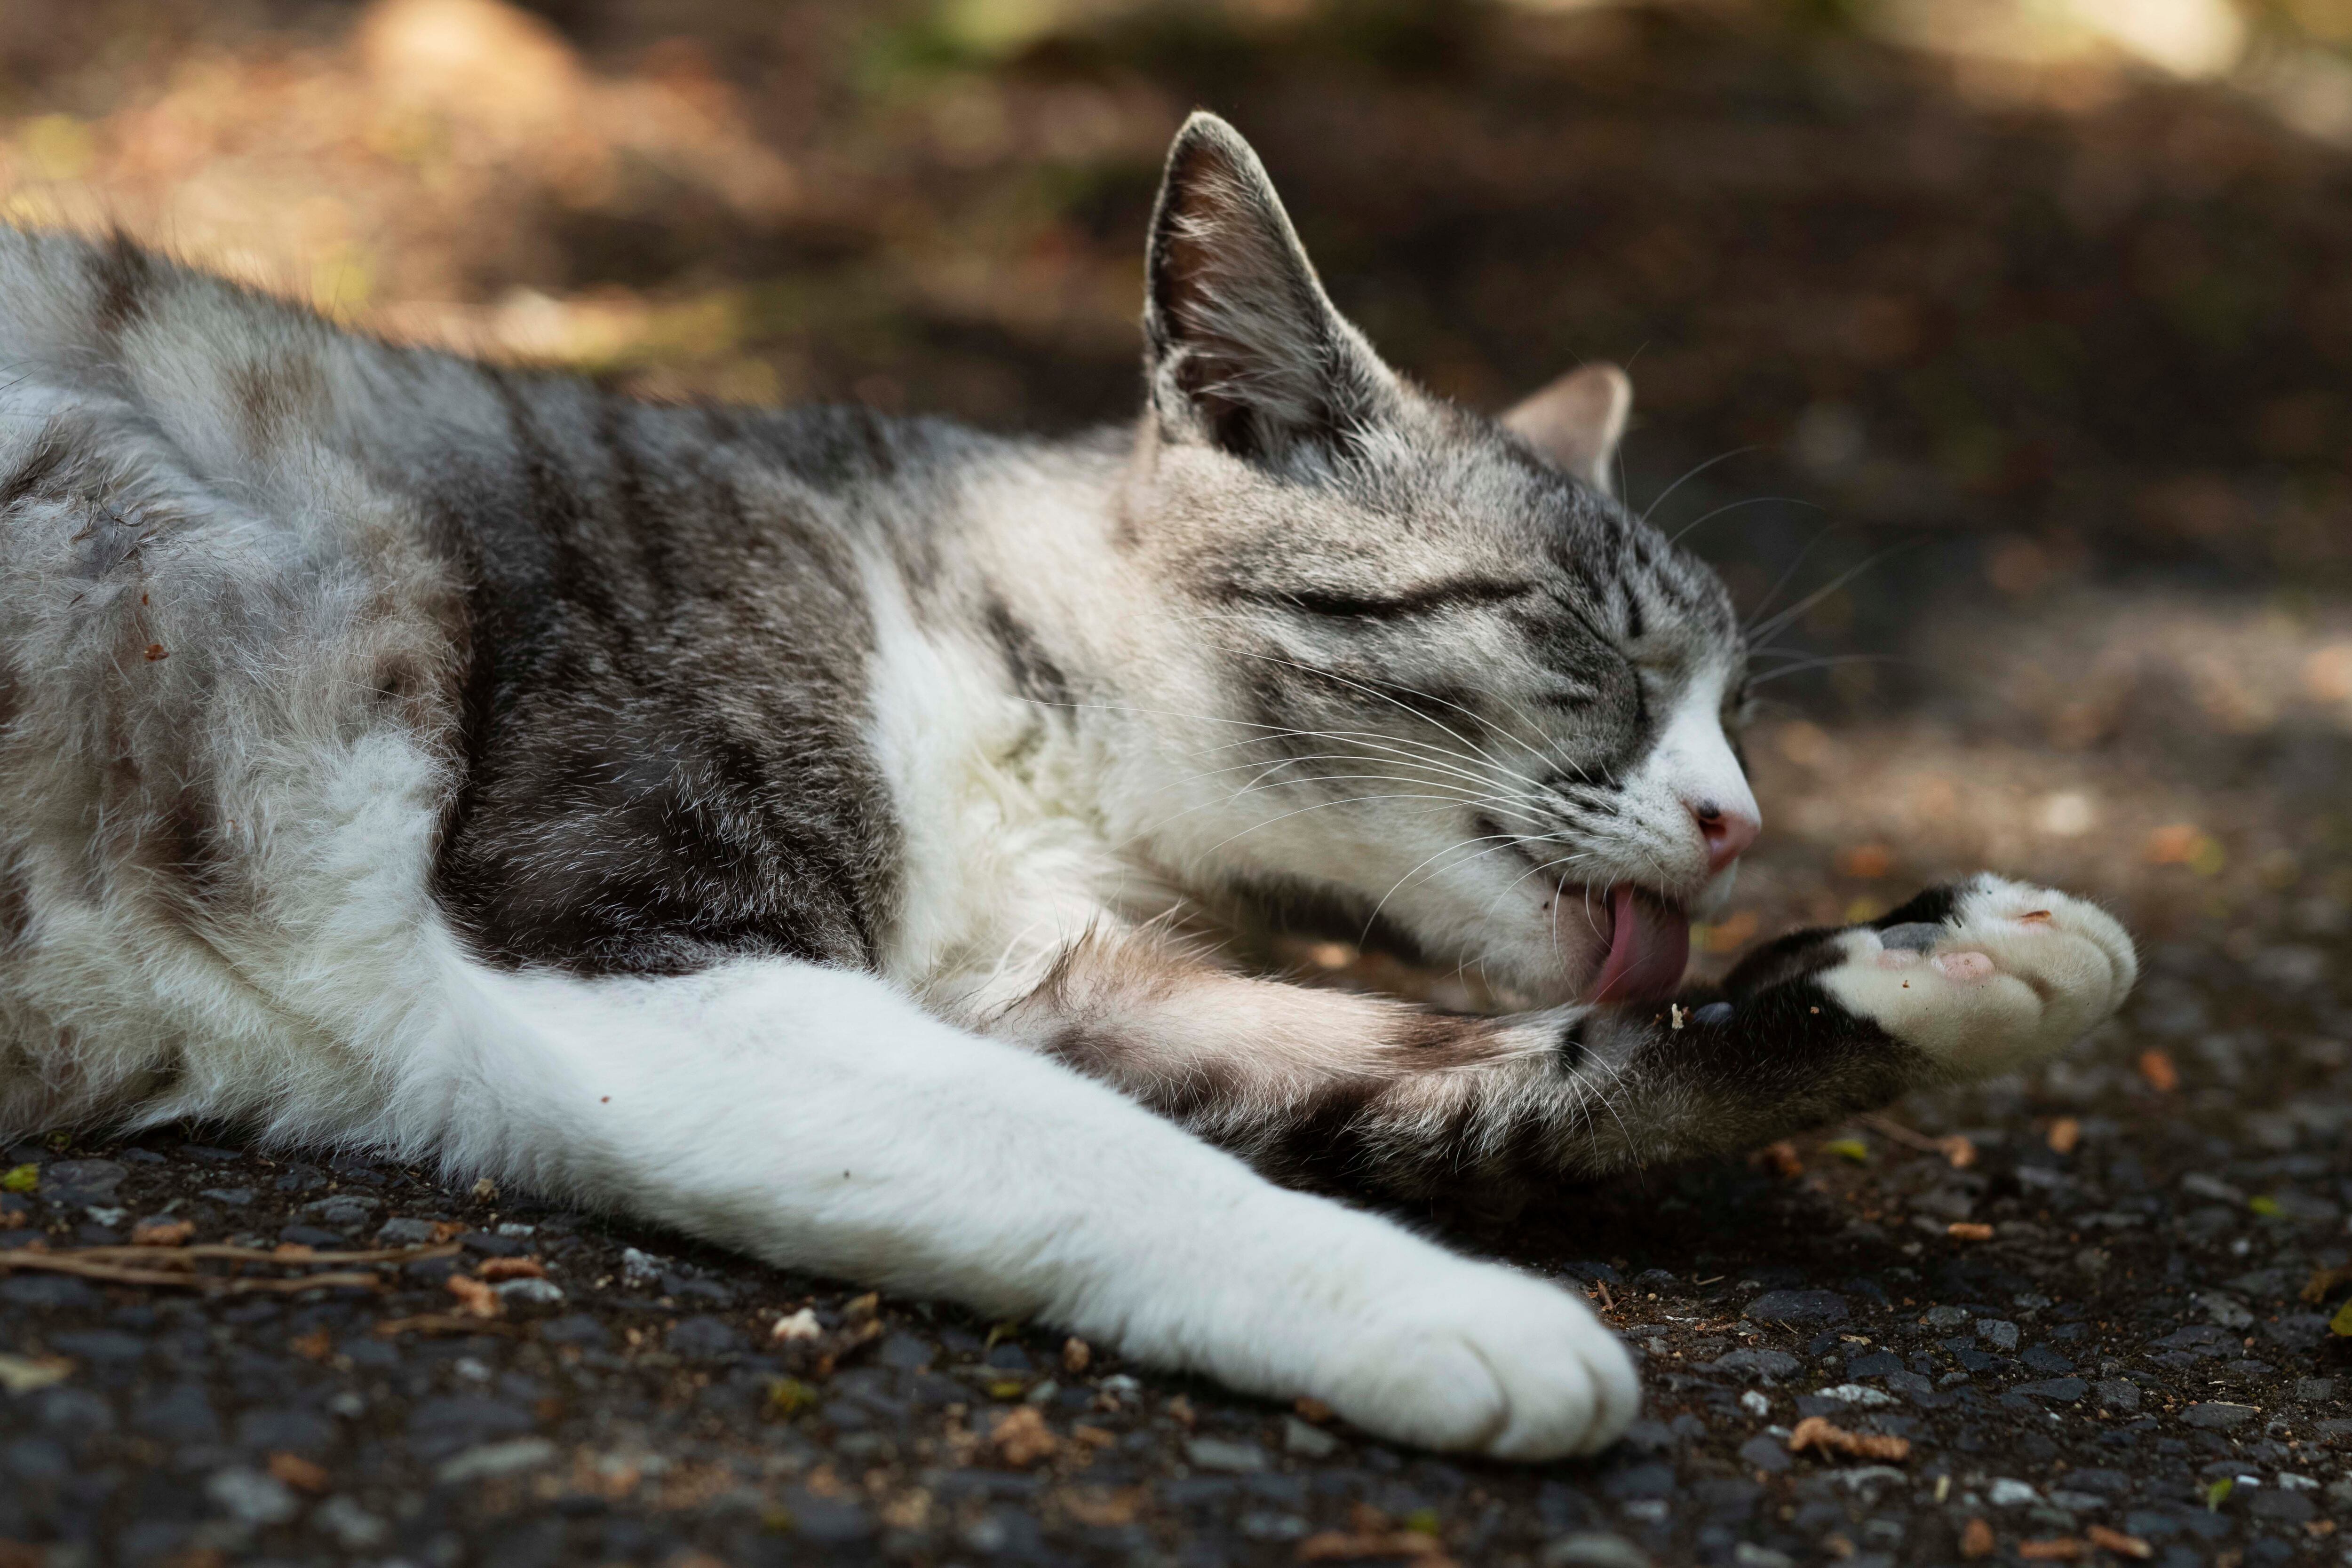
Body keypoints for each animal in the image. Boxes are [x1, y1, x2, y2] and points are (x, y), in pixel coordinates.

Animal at [0, 113, 2136, 1457]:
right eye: (1583, 641)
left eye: (1736, 709)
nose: (1736, 824)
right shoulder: (619, 949)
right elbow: (1087, 1152)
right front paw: (1463, 1317)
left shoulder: (1069, 984)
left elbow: (1454, 1079)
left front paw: (1924, 965)